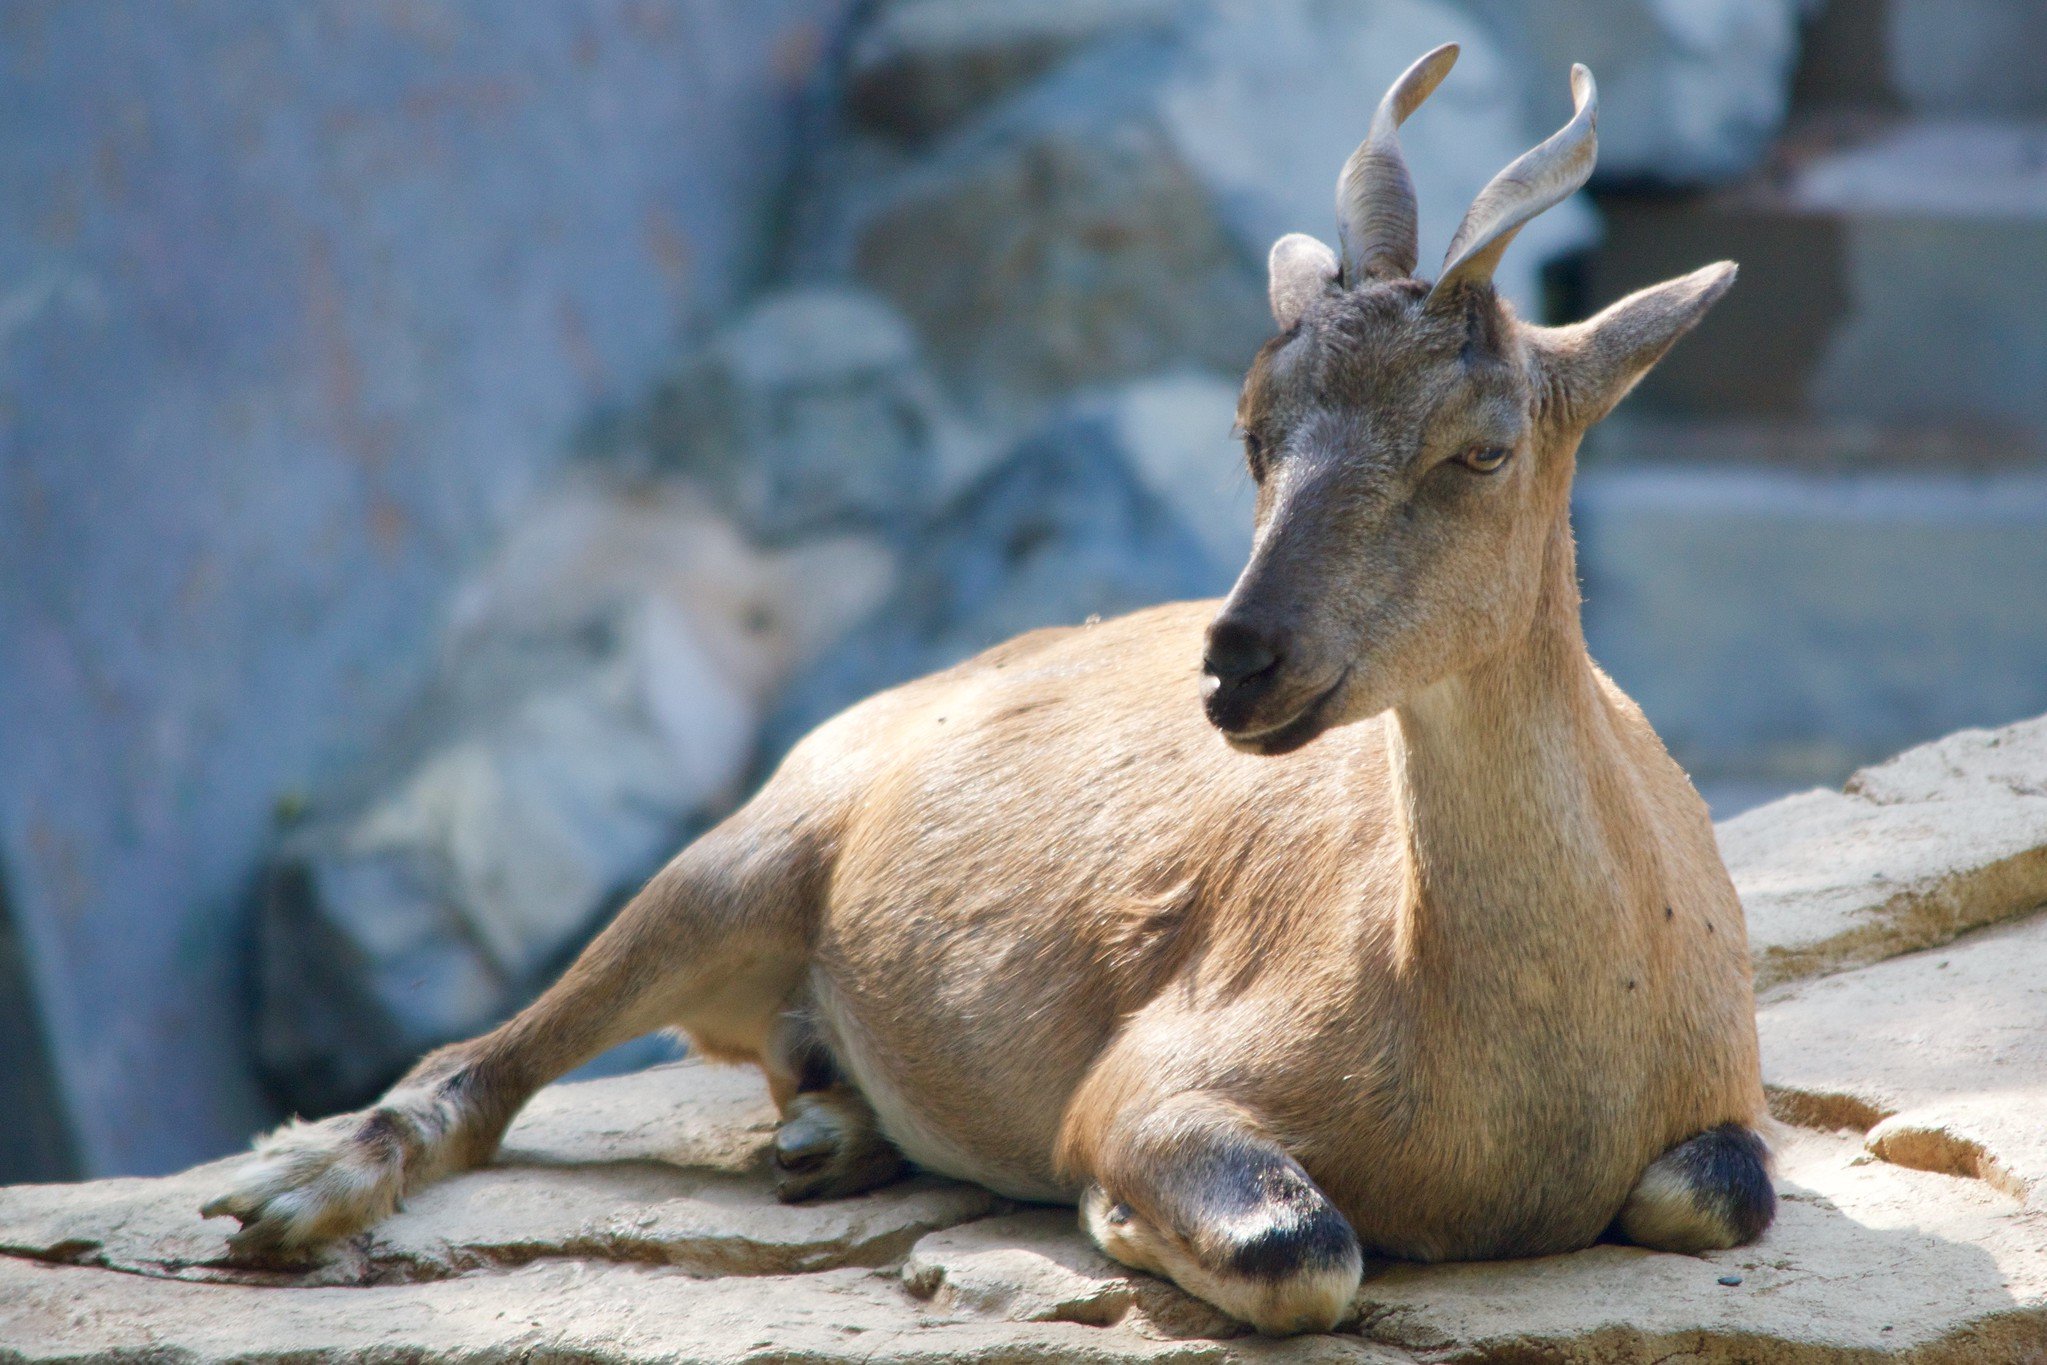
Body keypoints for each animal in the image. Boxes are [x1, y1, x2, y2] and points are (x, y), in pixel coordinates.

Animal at [211, 48, 1776, 1342]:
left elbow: (1716, 1195)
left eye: (1482, 447)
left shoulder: (1725, 1109)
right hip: (737, 863)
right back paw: (291, 1204)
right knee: (483, 1060)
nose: (1239, 664)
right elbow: (1299, 1250)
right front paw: (1107, 1216)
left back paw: (826, 1133)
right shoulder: (1152, 1086)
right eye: (1251, 431)